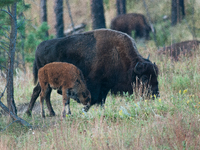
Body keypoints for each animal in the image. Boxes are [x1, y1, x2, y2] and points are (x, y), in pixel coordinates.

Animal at [25, 28, 159, 116]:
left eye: (155, 76)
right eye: (144, 78)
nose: (156, 94)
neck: (117, 55)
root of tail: (38, 48)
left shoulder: (105, 86)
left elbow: (101, 100)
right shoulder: (95, 84)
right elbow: (93, 98)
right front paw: (84, 109)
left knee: (39, 92)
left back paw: (39, 113)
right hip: (45, 81)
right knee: (42, 93)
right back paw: (35, 112)